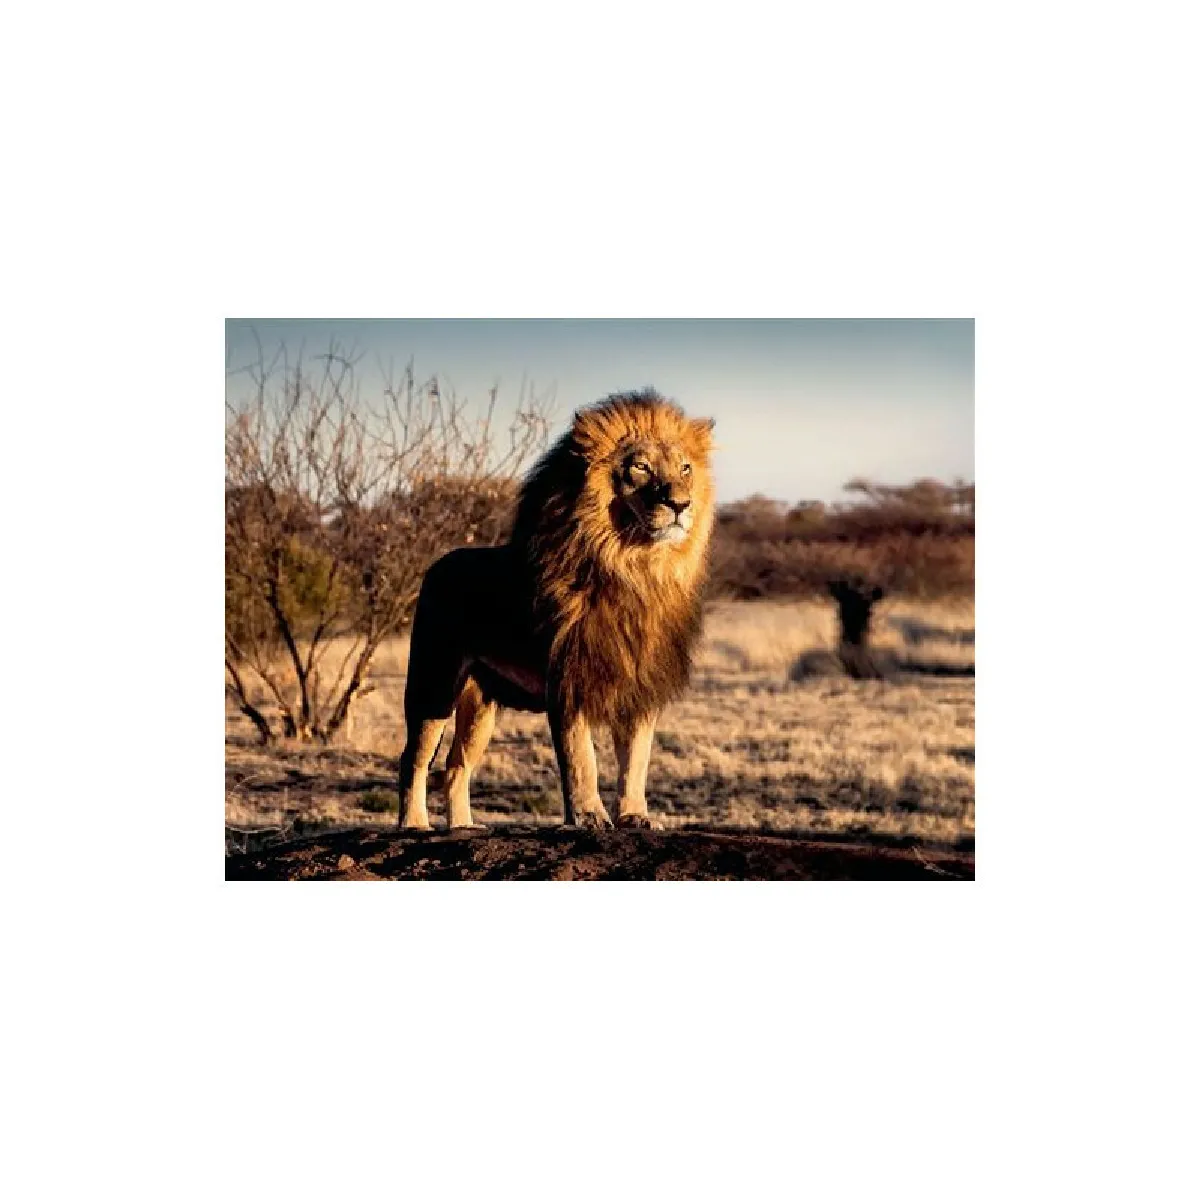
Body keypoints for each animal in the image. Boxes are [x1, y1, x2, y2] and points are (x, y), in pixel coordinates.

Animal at [397, 389, 716, 831]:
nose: (681, 504)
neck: (635, 569)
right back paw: (413, 824)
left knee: (456, 765)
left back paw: (462, 827)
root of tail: (437, 564)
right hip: (434, 683)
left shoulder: (641, 683)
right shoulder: (568, 678)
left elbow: (636, 760)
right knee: (414, 758)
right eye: (640, 467)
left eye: (685, 468)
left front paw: (635, 816)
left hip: (480, 705)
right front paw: (588, 817)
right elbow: (582, 758)